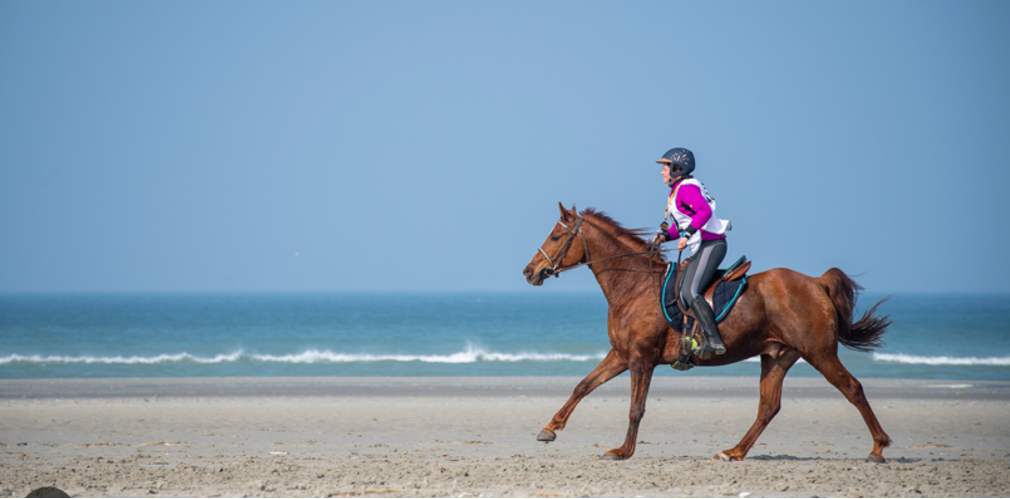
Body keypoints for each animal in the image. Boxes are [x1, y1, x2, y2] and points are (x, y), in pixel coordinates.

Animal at [521, 205, 892, 462]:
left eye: (556, 236)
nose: (529, 271)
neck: (634, 285)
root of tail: (816, 282)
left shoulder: (641, 359)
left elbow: (635, 408)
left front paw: (623, 451)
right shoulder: (621, 355)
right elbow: (583, 386)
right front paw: (550, 429)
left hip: (819, 352)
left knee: (852, 389)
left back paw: (878, 448)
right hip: (777, 357)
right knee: (768, 406)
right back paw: (734, 452)